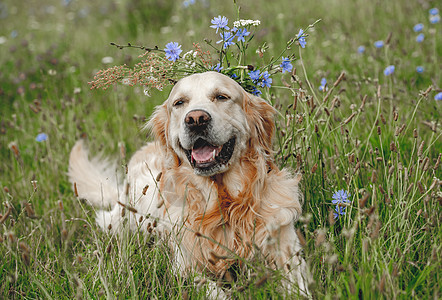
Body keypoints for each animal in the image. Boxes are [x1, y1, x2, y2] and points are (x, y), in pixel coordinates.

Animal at [69, 71, 310, 296]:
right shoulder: (186, 267)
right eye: (179, 103)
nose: (196, 119)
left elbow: (297, 285)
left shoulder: (285, 248)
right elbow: (212, 289)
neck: (224, 204)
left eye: (221, 97)